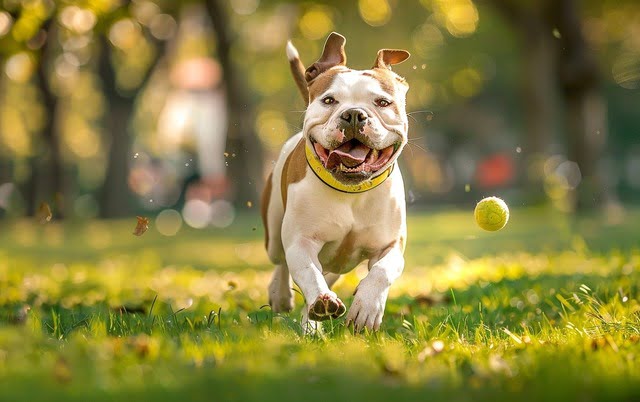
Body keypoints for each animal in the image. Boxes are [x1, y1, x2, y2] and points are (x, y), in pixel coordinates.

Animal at [260, 31, 410, 332]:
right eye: (329, 101)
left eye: (383, 102)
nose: (353, 114)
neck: (351, 191)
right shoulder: (301, 241)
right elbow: (307, 272)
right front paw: (321, 301)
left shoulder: (391, 245)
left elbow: (382, 271)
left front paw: (367, 308)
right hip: (274, 232)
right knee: (282, 261)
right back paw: (282, 296)